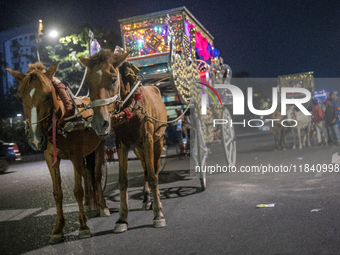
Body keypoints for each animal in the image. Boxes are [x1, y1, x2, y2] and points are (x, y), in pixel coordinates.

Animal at [6, 61, 109, 243]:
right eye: (21, 98)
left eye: (48, 96)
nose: (35, 139)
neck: (61, 122)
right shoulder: (50, 158)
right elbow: (57, 193)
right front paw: (58, 229)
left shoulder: (76, 155)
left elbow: (77, 191)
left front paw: (83, 226)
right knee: (87, 174)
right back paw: (90, 205)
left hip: (100, 145)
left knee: (96, 176)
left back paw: (102, 206)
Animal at [81, 49, 169, 231]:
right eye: (87, 82)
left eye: (114, 79)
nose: (99, 123)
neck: (132, 107)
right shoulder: (122, 143)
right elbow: (123, 180)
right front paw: (122, 218)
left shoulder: (148, 140)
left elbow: (153, 176)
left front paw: (158, 214)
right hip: (138, 148)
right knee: (145, 168)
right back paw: (146, 199)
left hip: (158, 141)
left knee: (154, 168)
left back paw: (154, 202)